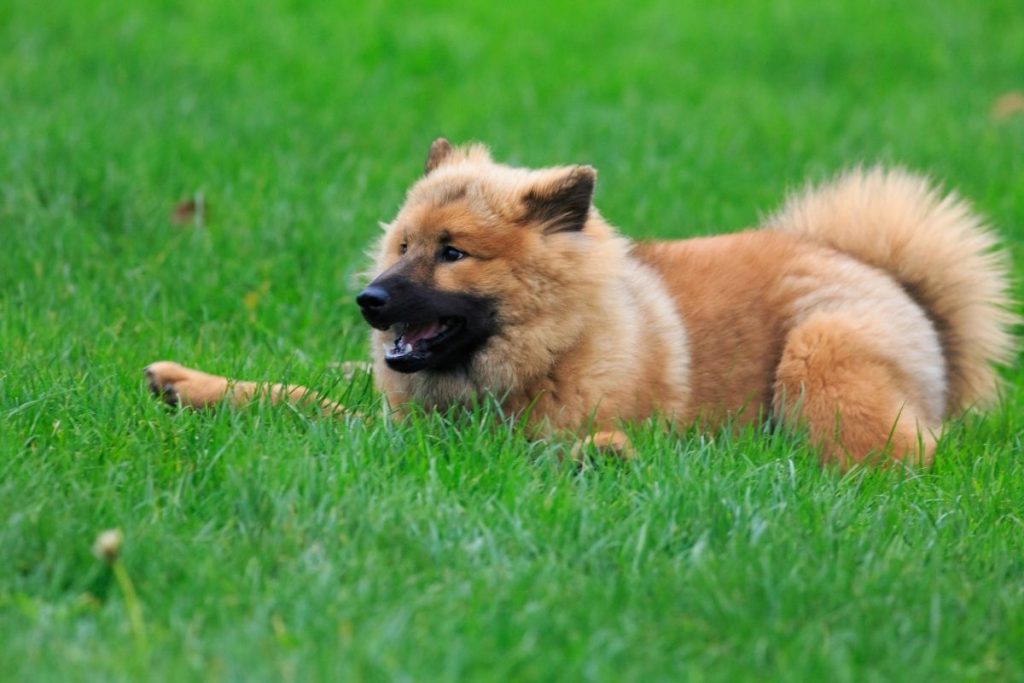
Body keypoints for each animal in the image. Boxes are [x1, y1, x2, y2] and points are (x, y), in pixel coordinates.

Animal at [146, 139, 1015, 471]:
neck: (553, 344)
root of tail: (891, 278)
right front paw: (195, 385)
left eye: (453, 253)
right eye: (400, 245)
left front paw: (601, 452)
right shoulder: (391, 410)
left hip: (821, 350)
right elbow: (301, 396)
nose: (369, 299)